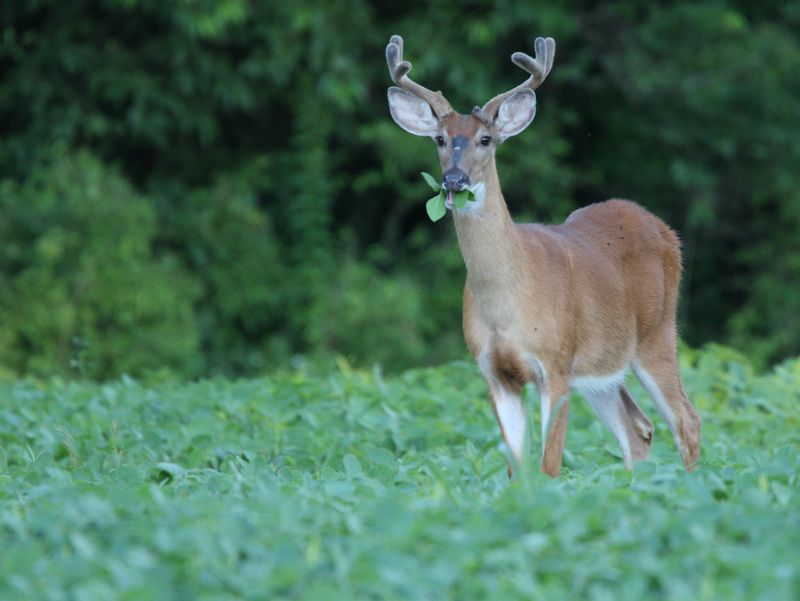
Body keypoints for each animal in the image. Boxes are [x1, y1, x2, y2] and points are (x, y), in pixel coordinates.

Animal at [386, 35, 700, 476]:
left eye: (486, 139)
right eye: (440, 139)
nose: (454, 180)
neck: (507, 302)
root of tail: (665, 230)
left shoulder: (555, 363)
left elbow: (549, 465)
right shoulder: (493, 371)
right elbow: (517, 469)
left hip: (658, 332)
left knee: (686, 420)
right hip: (602, 364)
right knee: (638, 426)